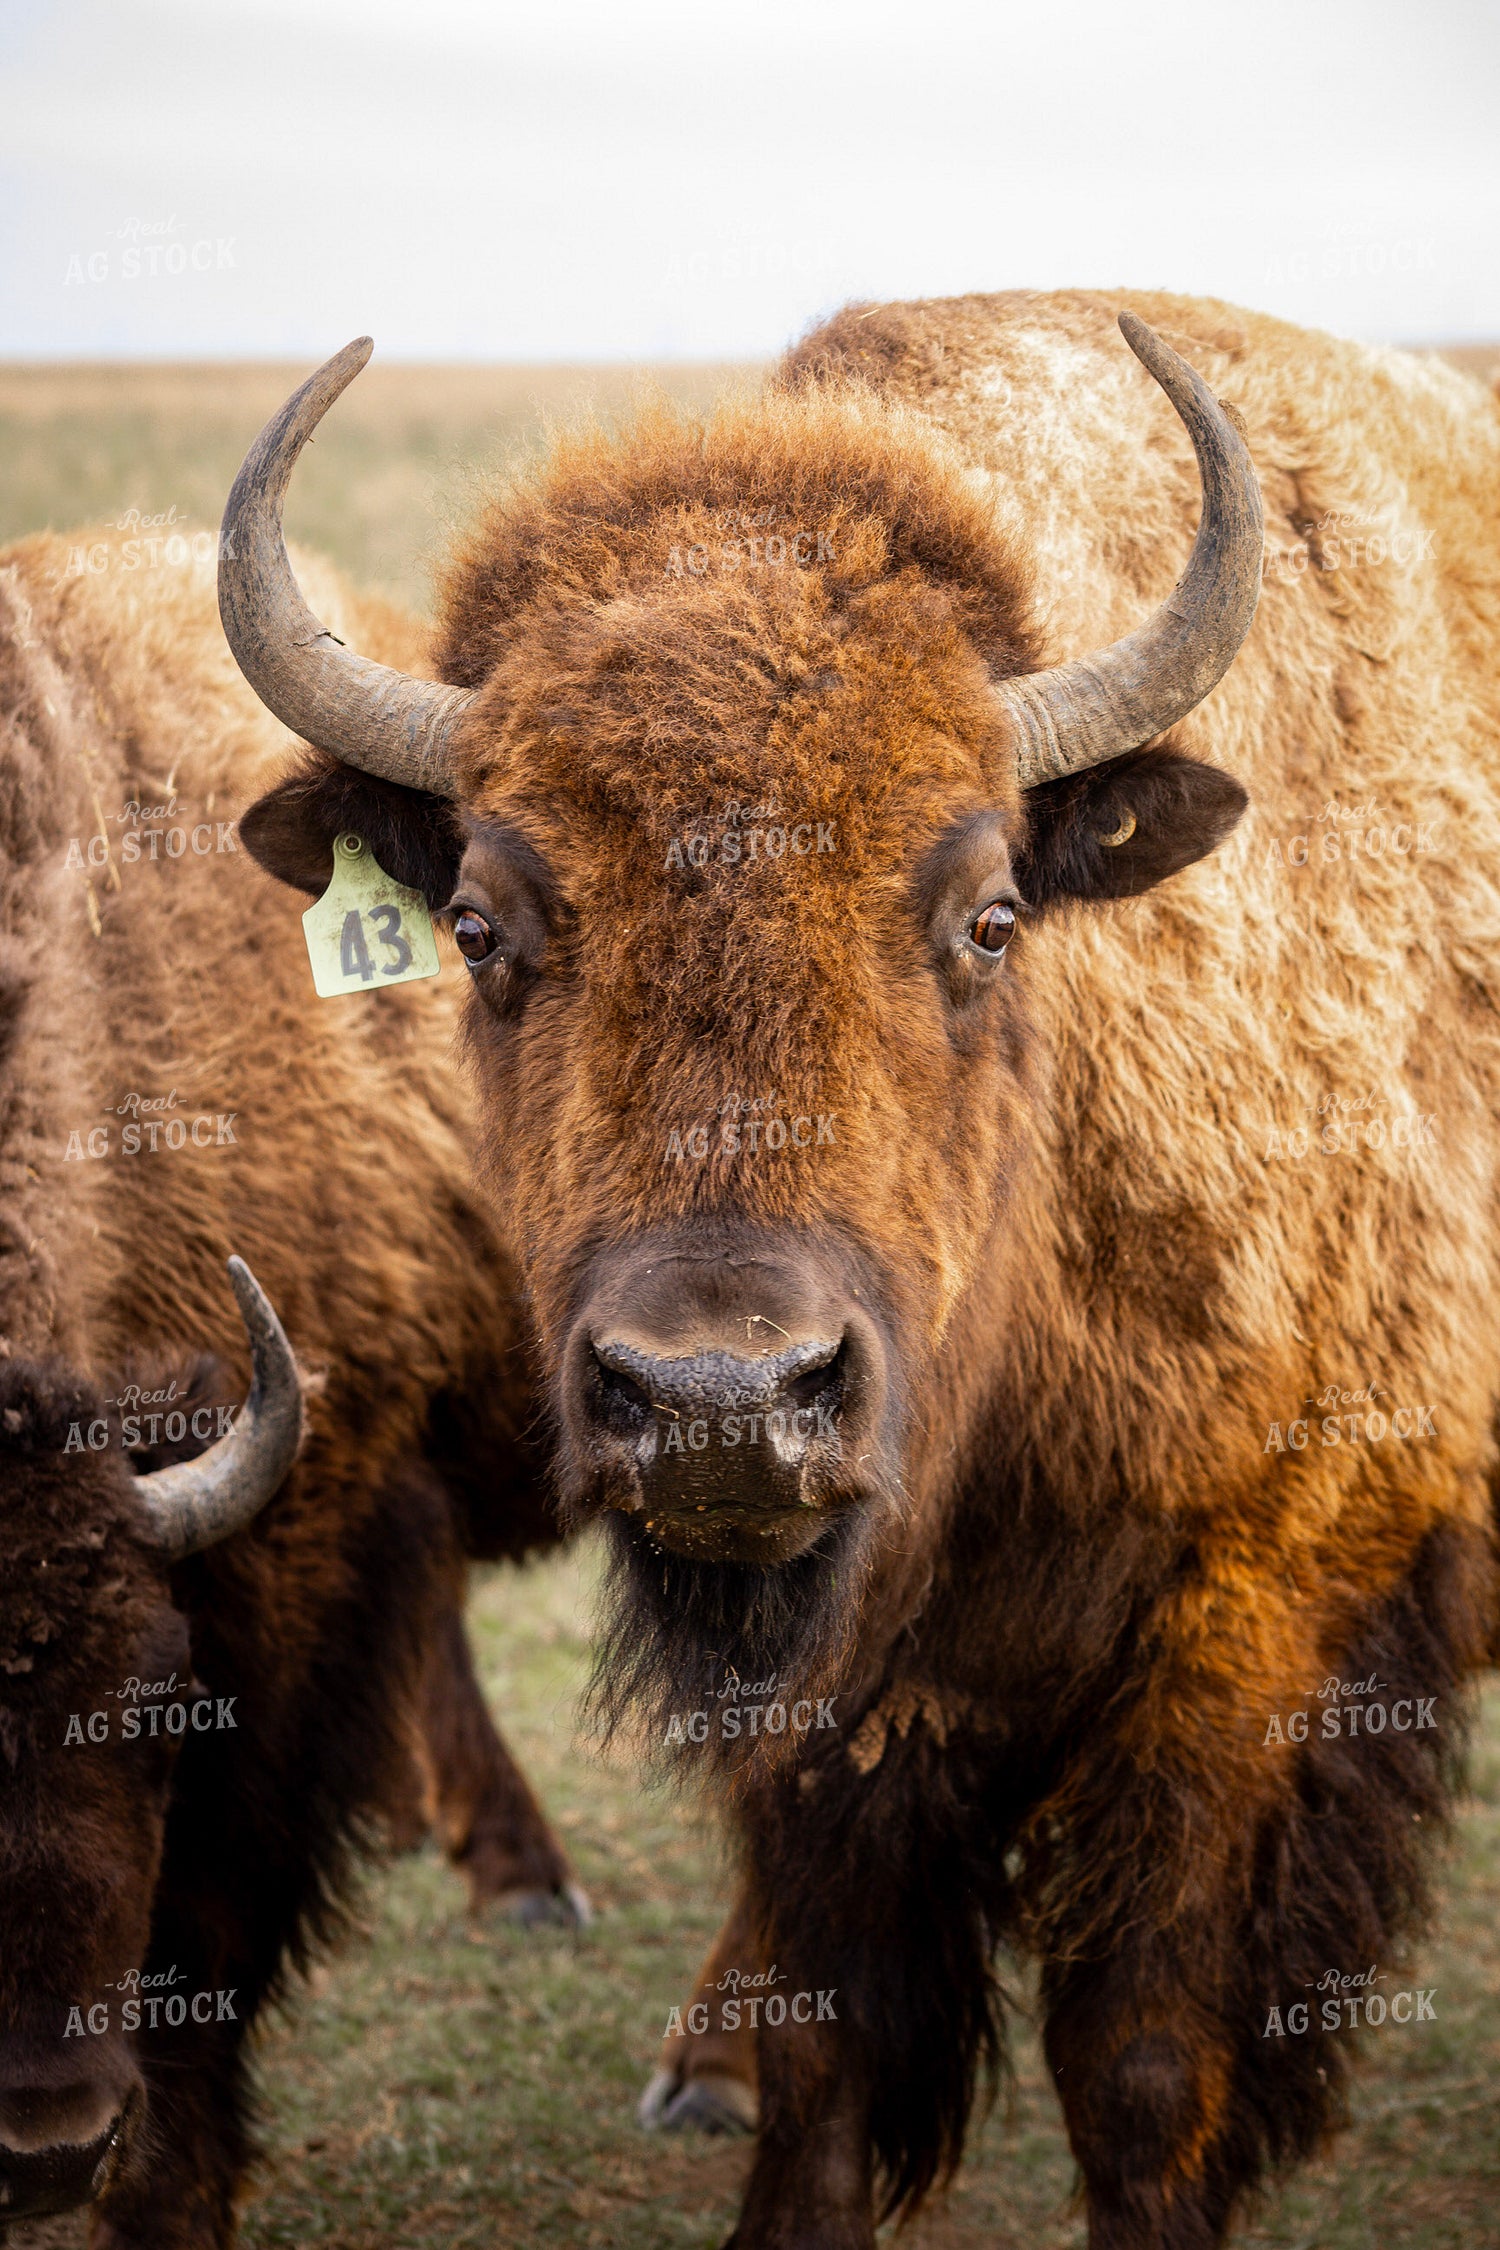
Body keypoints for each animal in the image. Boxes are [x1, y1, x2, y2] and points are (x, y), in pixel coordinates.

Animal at [224, 288, 1500, 2248]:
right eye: (482, 928)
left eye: (988, 915)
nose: (721, 1398)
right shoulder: (834, 1681)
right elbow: (824, 2039)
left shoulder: (1261, 1599)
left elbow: (1147, 2063)